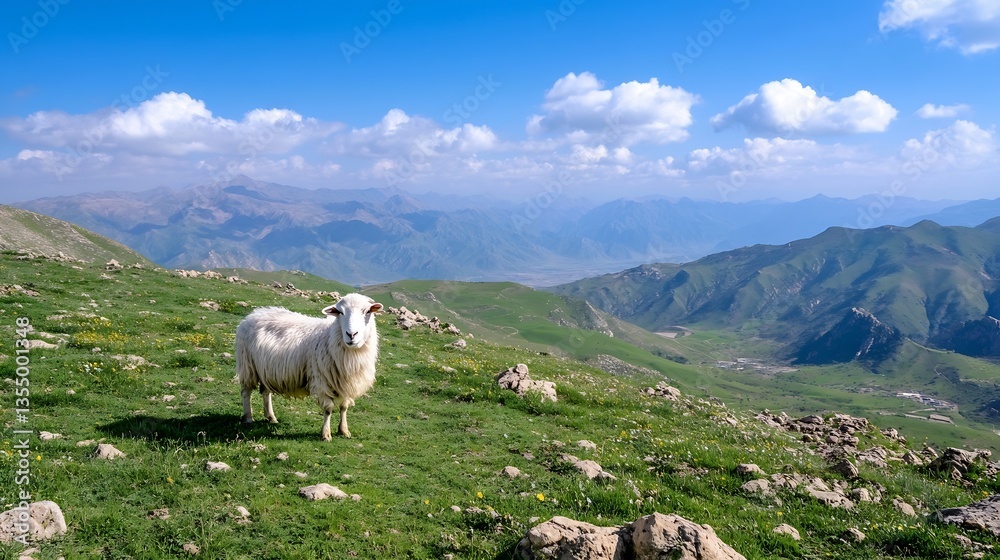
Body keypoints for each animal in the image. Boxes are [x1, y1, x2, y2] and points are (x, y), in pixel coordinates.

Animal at [236, 293, 383, 440]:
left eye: (367, 311)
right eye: (340, 312)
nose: (351, 334)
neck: (329, 336)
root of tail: (254, 313)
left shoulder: (347, 382)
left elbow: (344, 407)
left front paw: (344, 430)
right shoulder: (322, 381)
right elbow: (328, 409)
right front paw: (326, 434)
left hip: (266, 369)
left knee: (266, 392)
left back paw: (271, 417)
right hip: (247, 365)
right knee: (246, 392)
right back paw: (248, 418)